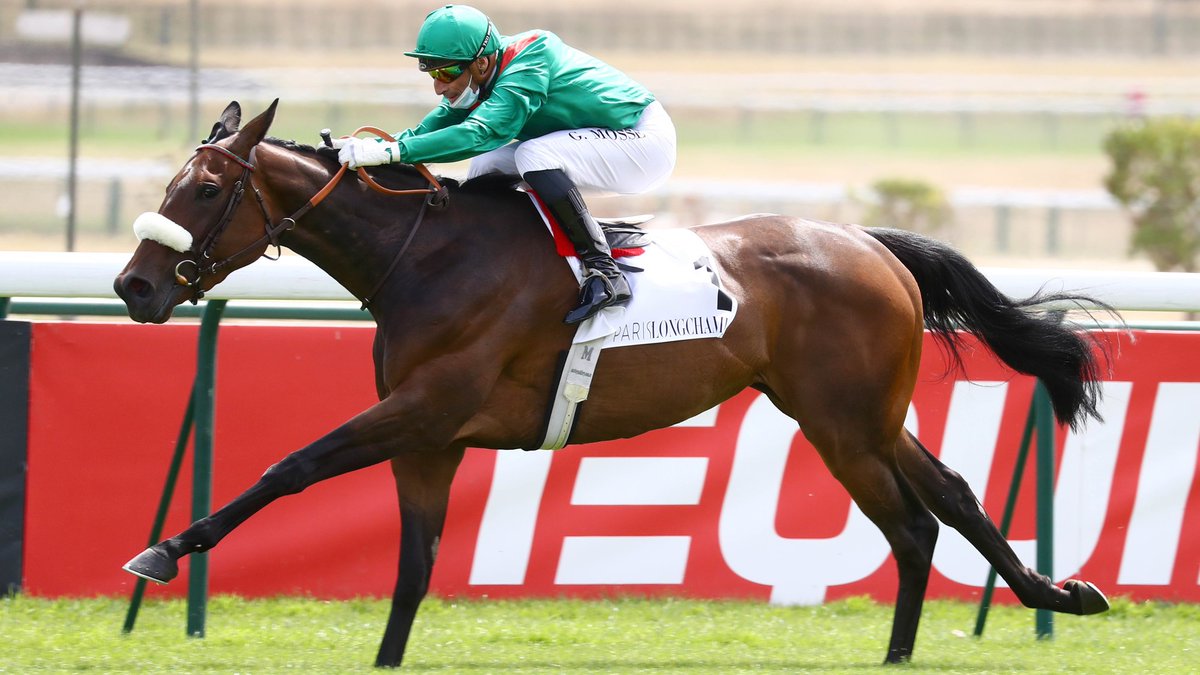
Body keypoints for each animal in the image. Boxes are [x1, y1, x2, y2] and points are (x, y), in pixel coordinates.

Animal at [115, 100, 1112, 668]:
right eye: (169, 184)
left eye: (204, 190)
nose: (134, 287)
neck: (425, 255)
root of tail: (872, 243)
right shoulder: (430, 438)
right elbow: (413, 568)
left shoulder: (422, 408)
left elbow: (291, 466)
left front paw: (164, 548)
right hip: (859, 413)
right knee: (949, 495)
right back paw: (1057, 592)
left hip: (843, 423)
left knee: (910, 526)